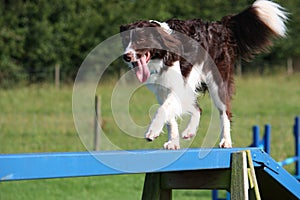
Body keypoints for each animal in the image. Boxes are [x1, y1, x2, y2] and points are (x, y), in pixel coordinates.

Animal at [119, 0, 286, 149]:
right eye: (126, 40)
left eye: (141, 39)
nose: (126, 56)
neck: (162, 56)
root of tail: (220, 25)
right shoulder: (162, 89)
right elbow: (170, 116)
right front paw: (173, 142)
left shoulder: (178, 85)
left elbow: (163, 109)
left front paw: (152, 131)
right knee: (197, 109)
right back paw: (189, 131)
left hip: (217, 83)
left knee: (224, 112)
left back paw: (226, 141)